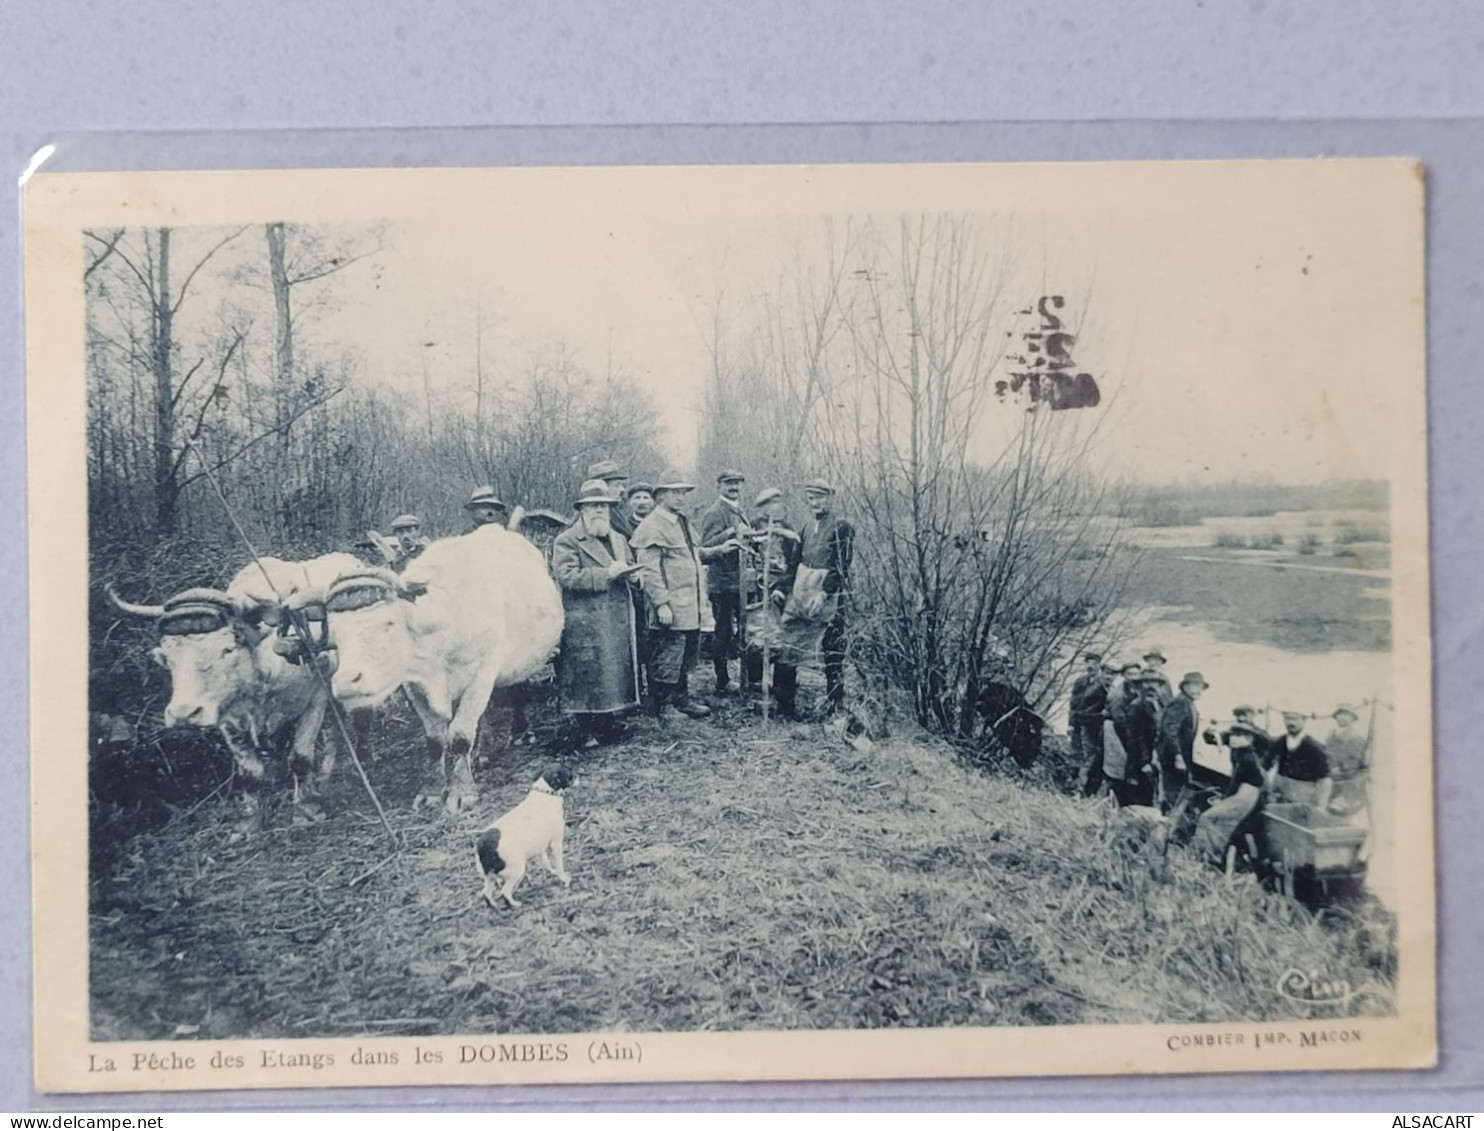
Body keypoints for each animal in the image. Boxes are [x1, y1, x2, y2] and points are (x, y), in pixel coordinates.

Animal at [474, 759, 572, 902]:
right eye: (567, 773)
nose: (576, 775)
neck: (544, 793)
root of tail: (483, 846)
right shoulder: (556, 842)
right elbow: (559, 865)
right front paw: (564, 878)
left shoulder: (540, 847)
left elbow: (546, 863)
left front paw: (552, 872)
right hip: (516, 869)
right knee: (505, 890)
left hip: (489, 876)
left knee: (487, 892)